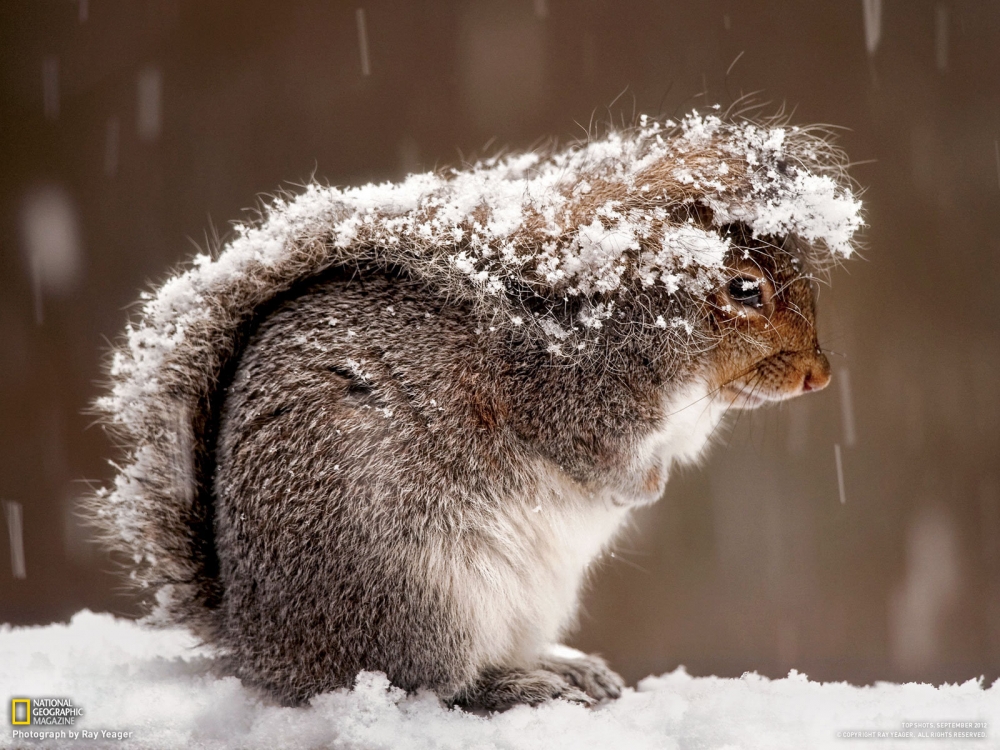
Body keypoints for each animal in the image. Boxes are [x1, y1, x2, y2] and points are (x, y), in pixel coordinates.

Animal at [90, 110, 864, 712]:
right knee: (434, 684)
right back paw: (518, 686)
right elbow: (594, 457)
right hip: (419, 593)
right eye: (744, 288)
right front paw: (640, 490)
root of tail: (262, 648)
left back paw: (562, 666)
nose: (819, 376)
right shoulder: (564, 398)